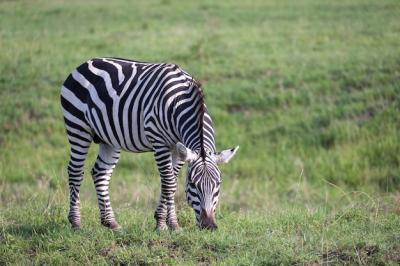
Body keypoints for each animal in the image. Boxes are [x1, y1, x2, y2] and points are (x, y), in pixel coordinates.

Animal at [60, 57, 238, 231]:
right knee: (75, 171)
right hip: (78, 127)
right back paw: (76, 222)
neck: (178, 101)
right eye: (193, 184)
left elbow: (172, 181)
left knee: (100, 173)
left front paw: (168, 222)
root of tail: (85, 63)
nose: (209, 226)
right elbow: (168, 183)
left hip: (109, 138)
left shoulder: (178, 148)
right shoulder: (159, 142)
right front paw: (164, 224)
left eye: (218, 184)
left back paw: (111, 222)